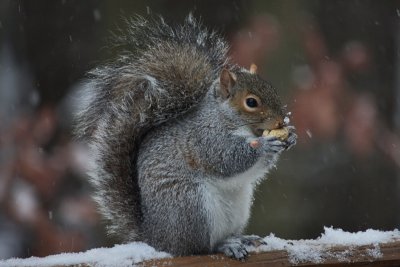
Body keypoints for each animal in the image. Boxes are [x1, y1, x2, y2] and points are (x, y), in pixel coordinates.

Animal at [73, 13, 296, 260]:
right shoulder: (205, 139)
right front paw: (265, 145)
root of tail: (156, 237)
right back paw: (225, 245)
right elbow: (227, 159)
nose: (281, 120)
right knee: (198, 248)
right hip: (190, 206)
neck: (228, 120)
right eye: (251, 102)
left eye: (272, 89)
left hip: (237, 207)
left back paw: (242, 238)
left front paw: (290, 137)